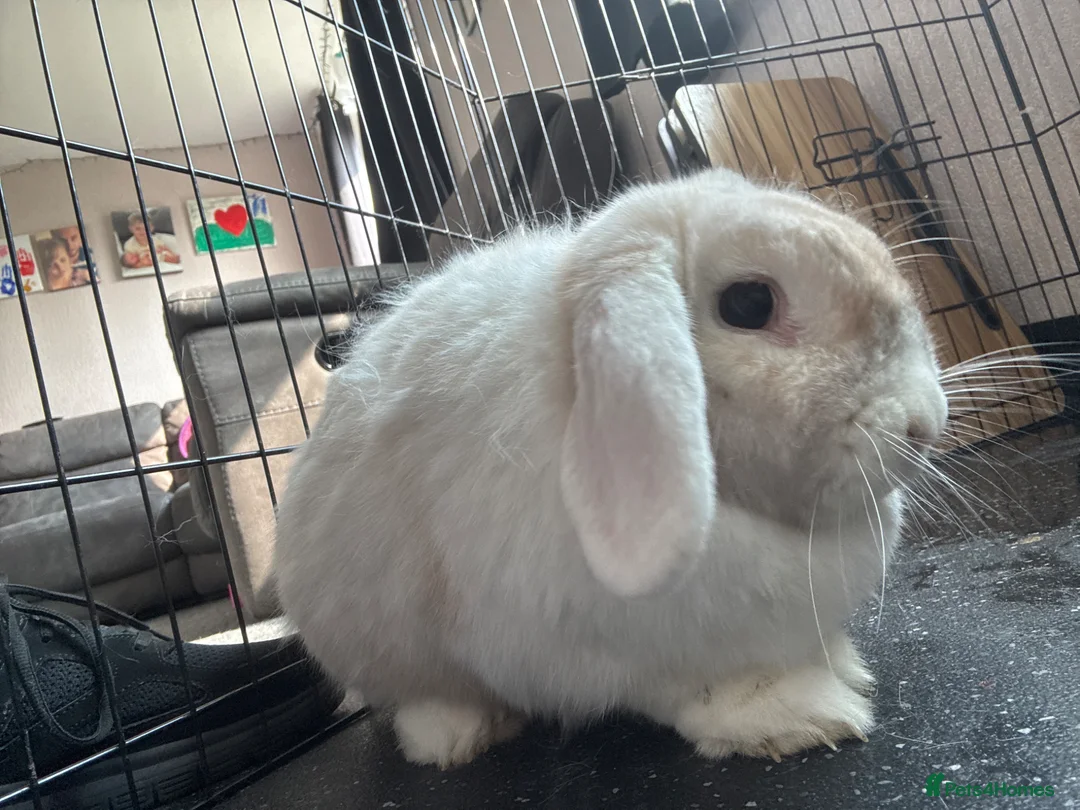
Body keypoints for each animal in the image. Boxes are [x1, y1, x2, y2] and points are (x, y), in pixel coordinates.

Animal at [272, 167, 948, 769]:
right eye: (749, 303)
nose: (925, 424)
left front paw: (843, 665)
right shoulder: (590, 651)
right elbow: (696, 692)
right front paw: (799, 716)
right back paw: (458, 736)